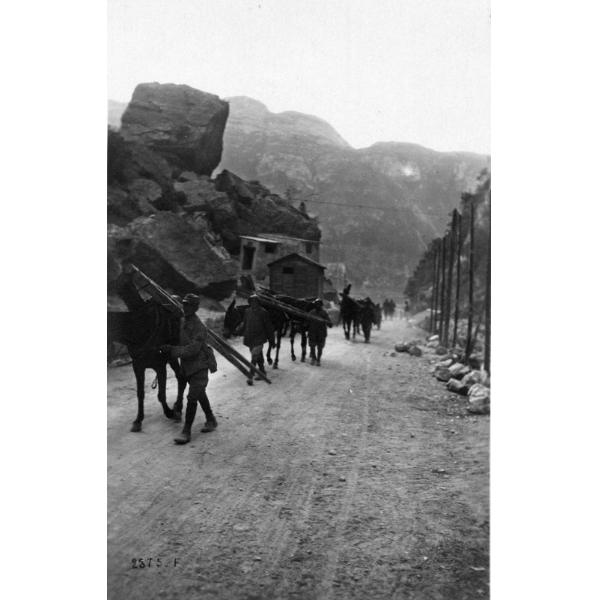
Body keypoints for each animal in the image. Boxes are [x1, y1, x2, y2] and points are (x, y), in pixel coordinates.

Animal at [108, 270, 186, 432]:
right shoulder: (137, 365)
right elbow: (140, 394)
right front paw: (138, 420)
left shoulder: (160, 366)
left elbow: (161, 394)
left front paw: (169, 412)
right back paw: (177, 407)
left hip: (175, 354)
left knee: (181, 377)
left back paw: (178, 409)